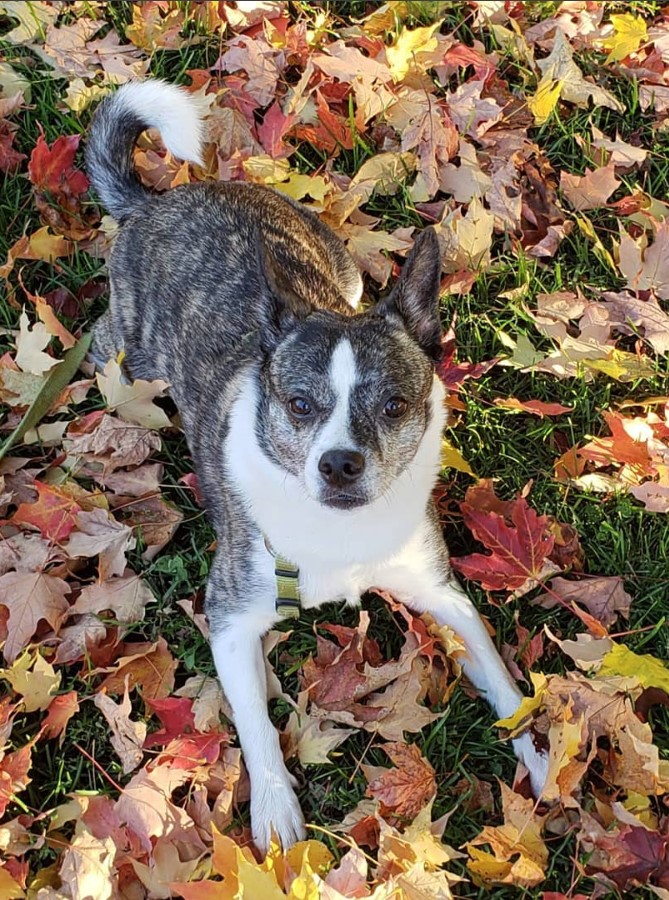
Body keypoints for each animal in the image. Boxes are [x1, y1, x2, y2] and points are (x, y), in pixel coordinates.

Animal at [87, 77, 548, 852]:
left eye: (394, 405)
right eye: (299, 404)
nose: (338, 464)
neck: (338, 535)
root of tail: (158, 202)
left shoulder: (441, 594)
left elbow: (502, 681)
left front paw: (544, 758)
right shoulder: (232, 617)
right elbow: (255, 727)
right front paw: (274, 813)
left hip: (344, 273)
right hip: (128, 359)